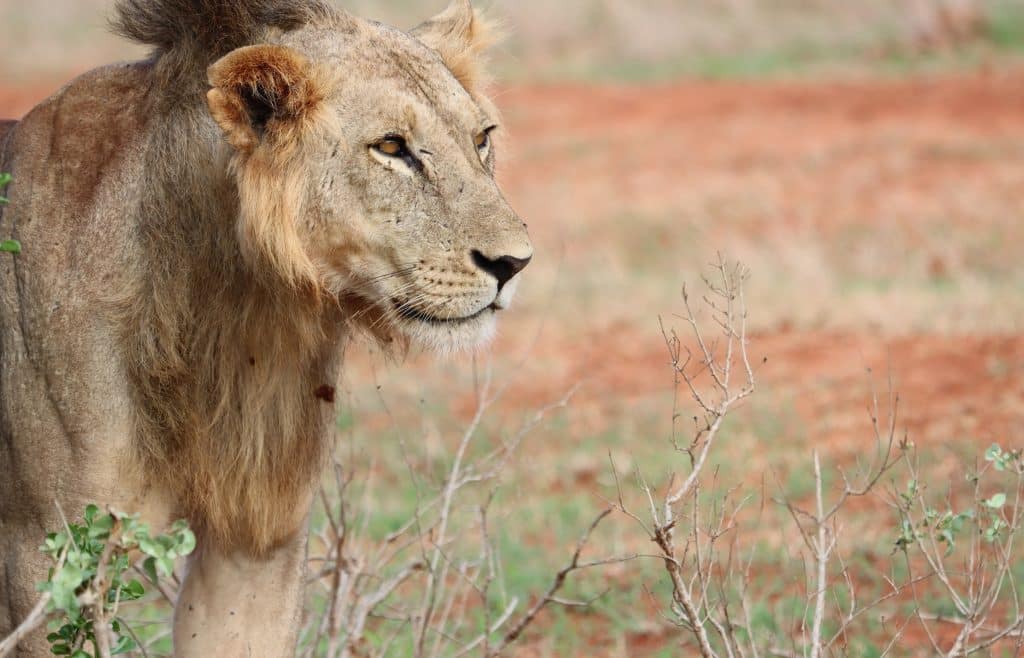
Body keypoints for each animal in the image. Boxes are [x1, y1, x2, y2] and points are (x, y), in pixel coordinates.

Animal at [0, 1, 528, 654]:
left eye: (482, 140)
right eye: (391, 146)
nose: (514, 264)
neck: (228, 304)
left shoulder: (257, 543)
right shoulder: (48, 551)